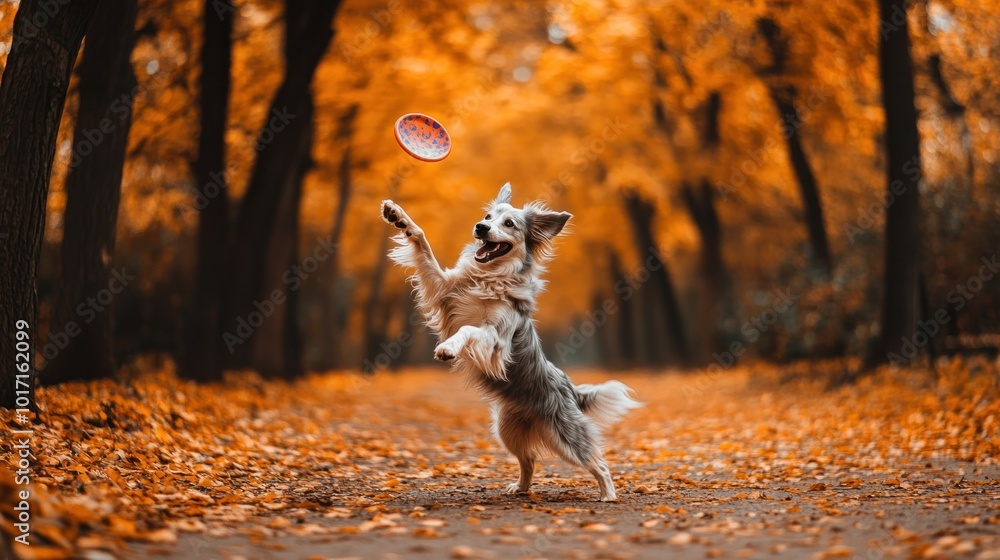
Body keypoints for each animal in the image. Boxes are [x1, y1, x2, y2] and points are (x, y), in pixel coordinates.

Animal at [382, 184, 640, 504]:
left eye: (509, 224)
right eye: (487, 217)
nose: (480, 228)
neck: (490, 275)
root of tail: (569, 386)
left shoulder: (497, 341)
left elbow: (468, 328)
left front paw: (449, 348)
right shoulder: (443, 289)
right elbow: (422, 242)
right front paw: (398, 216)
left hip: (565, 434)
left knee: (597, 461)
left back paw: (608, 495)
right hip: (506, 430)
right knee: (529, 460)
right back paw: (520, 488)